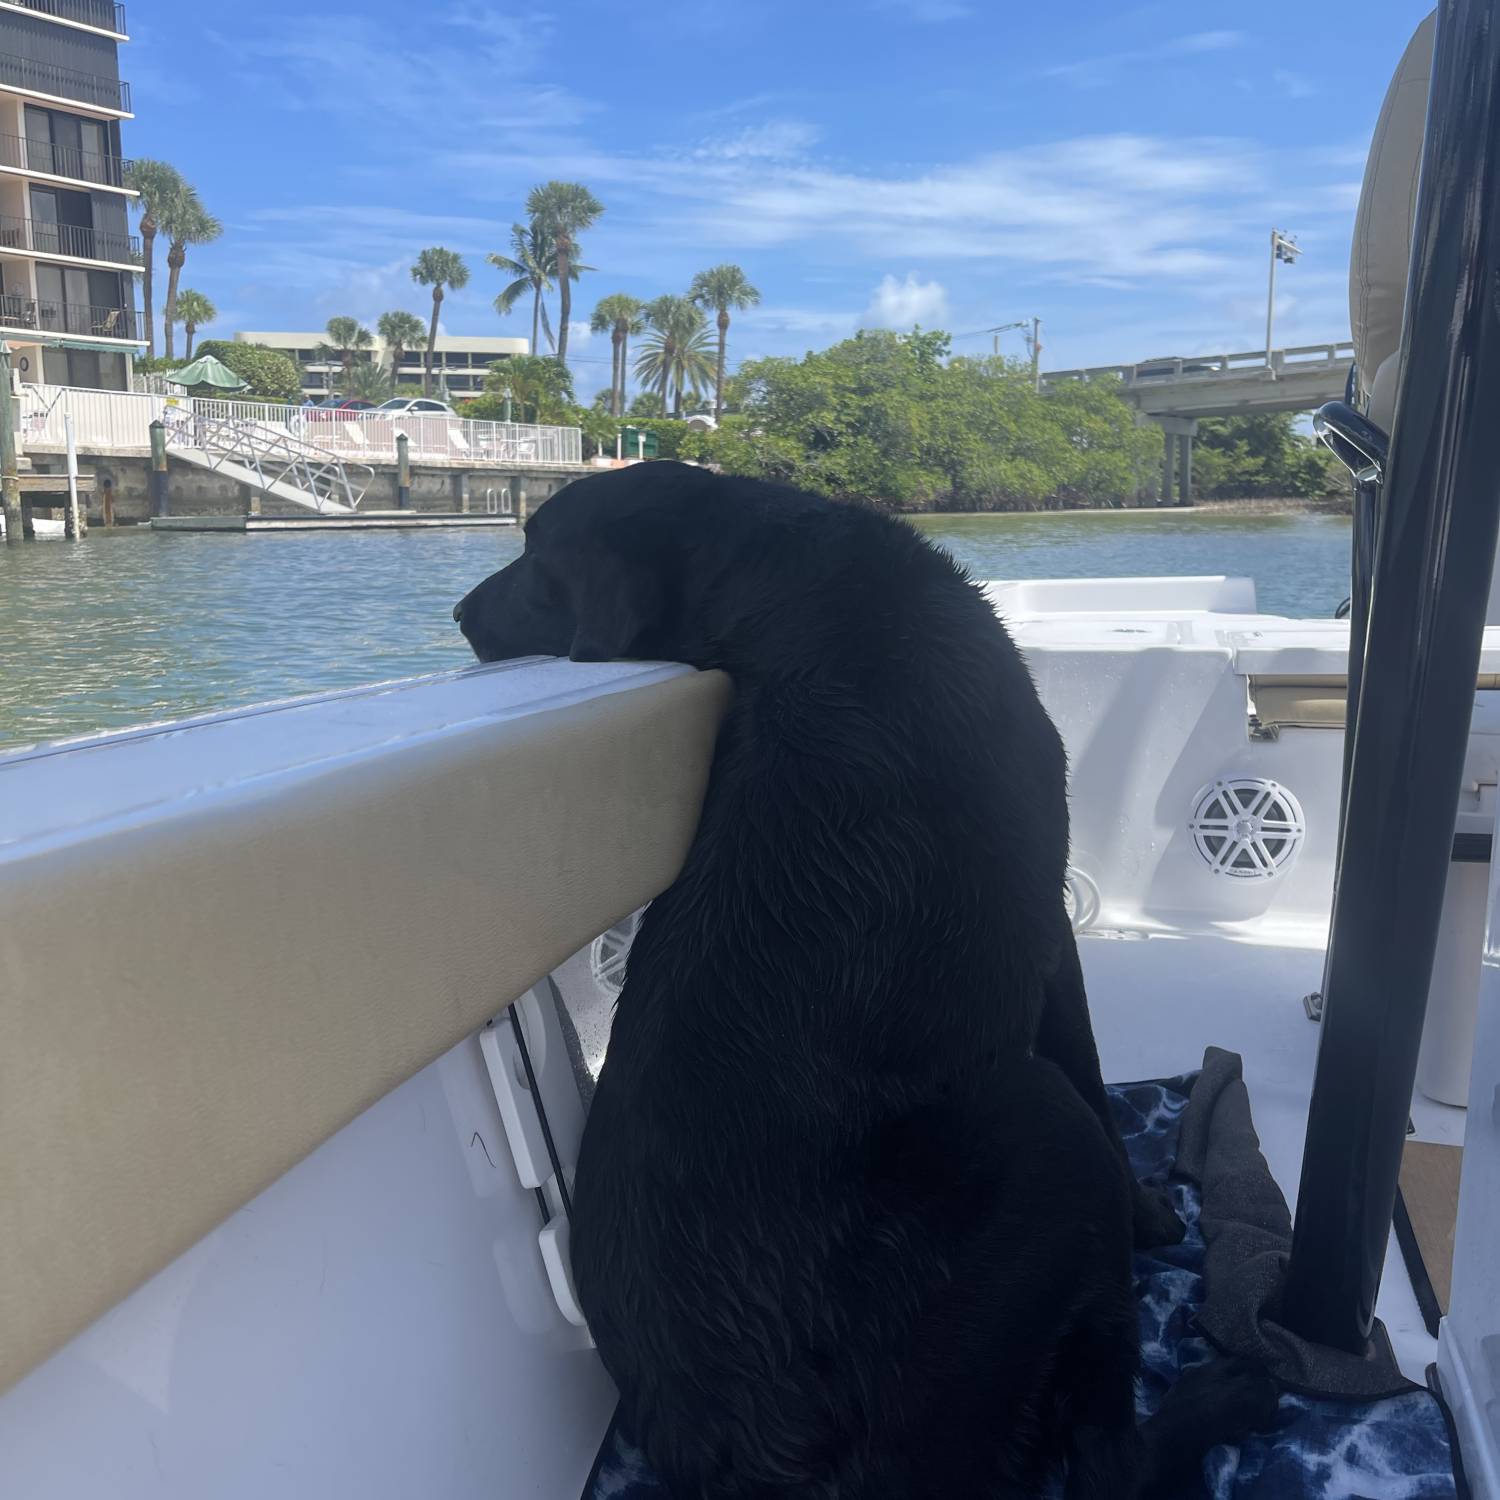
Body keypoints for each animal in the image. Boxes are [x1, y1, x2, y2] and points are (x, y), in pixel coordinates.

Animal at [459, 462, 1278, 1494]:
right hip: (1039, 1132)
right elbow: (1096, 1077)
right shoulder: (1051, 926)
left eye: (534, 557)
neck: (780, 581)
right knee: (1107, 1462)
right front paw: (1152, 1216)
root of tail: (777, 1461)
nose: (458, 615)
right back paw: (1227, 1394)